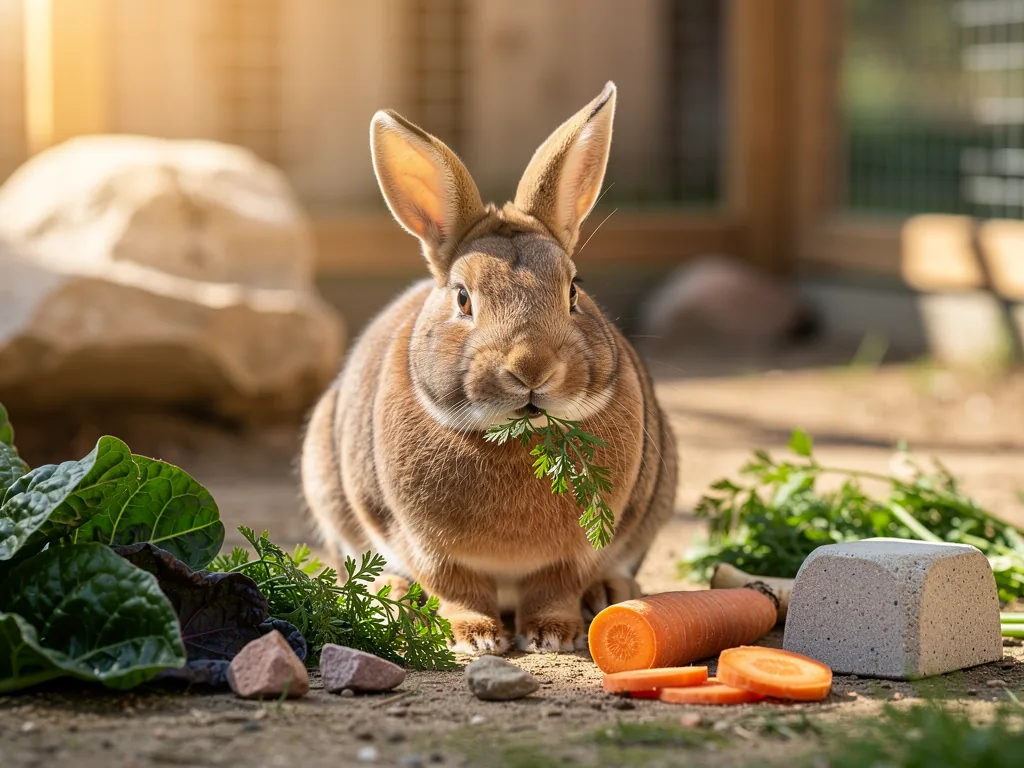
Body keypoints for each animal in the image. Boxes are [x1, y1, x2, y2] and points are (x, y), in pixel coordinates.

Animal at [300, 82, 678, 654]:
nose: (531, 368)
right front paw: (474, 638)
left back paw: (610, 592)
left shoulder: (575, 552)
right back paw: (395, 595)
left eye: (573, 290)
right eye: (462, 298)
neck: (516, 436)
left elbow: (555, 586)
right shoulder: (430, 547)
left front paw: (552, 635)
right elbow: (457, 588)